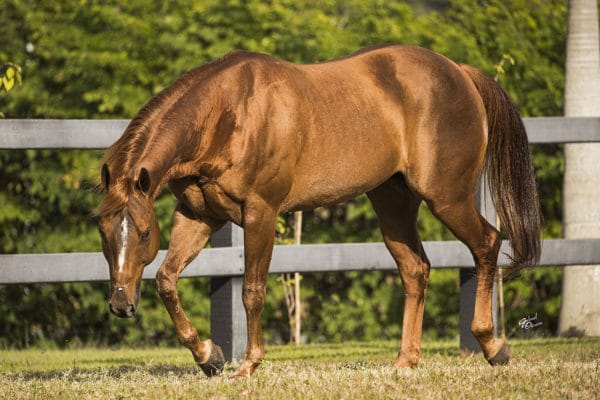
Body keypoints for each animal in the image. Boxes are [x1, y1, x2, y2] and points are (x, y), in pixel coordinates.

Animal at [95, 45, 544, 376]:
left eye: (143, 232)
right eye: (102, 230)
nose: (120, 305)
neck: (226, 114)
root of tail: (460, 73)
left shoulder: (260, 213)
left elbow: (252, 291)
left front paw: (248, 366)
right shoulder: (200, 215)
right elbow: (167, 280)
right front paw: (209, 356)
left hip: (446, 197)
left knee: (487, 243)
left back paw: (492, 345)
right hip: (393, 204)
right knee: (416, 270)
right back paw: (405, 361)